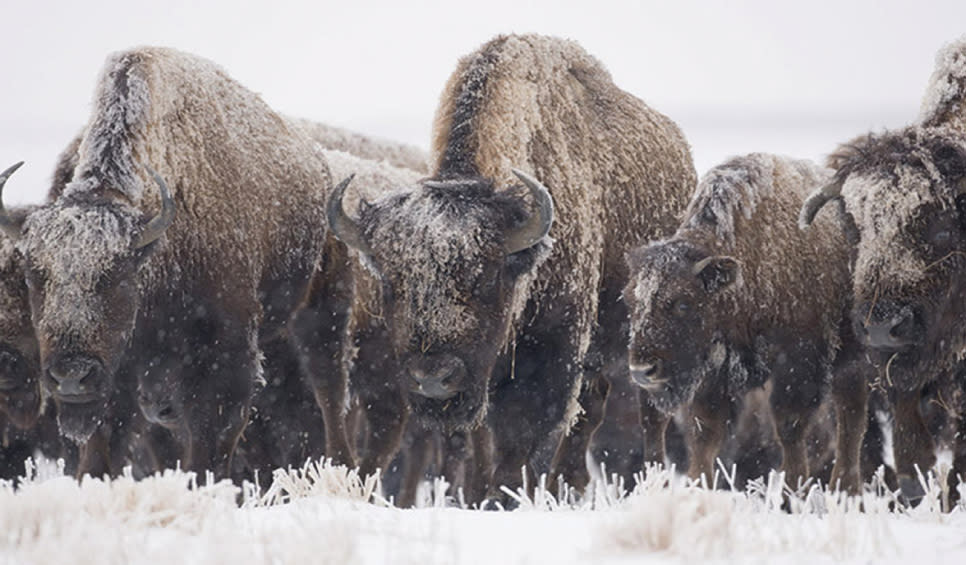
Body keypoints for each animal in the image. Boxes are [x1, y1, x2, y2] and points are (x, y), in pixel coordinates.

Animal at [328, 33, 700, 500]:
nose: (432, 379)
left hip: (649, 348)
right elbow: (485, 441)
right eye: (392, 282)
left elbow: (524, 436)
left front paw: (508, 496)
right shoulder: (487, 374)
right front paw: (479, 496)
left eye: (486, 276)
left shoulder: (551, 352)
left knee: (645, 419)